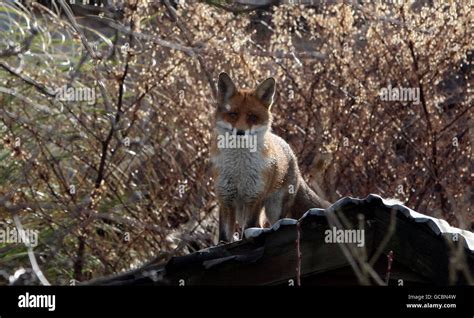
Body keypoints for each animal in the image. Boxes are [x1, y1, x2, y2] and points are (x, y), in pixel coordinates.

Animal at [211, 72, 330, 241]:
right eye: (233, 114)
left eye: (252, 117)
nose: (240, 133)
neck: (240, 167)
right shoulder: (226, 198)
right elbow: (224, 235)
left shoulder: (254, 198)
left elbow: (249, 228)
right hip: (241, 209)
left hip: (274, 209)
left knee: (269, 224)